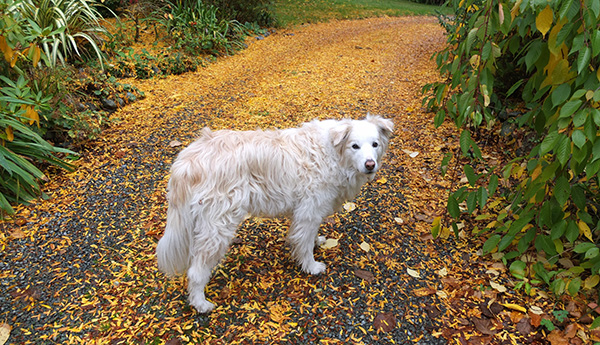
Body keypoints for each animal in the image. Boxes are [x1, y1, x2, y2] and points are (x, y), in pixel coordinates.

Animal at [157, 113, 396, 312]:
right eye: (355, 146)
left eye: (375, 144)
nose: (370, 164)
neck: (332, 153)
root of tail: (186, 160)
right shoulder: (308, 211)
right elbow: (304, 244)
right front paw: (311, 266)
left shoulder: (311, 211)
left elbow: (310, 236)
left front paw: (318, 241)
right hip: (217, 227)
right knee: (196, 272)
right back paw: (200, 304)